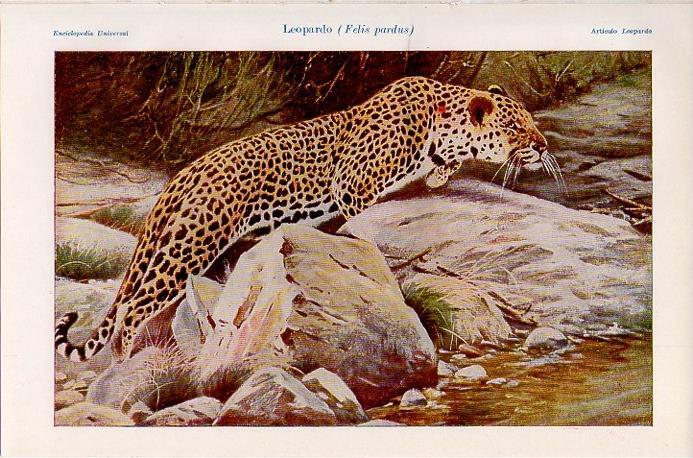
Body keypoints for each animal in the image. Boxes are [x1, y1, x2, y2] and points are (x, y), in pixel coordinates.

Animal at [55, 76, 550, 363]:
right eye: (517, 128)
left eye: (531, 123)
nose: (543, 145)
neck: (440, 126)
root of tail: (186, 173)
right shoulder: (353, 186)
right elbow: (363, 225)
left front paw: (441, 175)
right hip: (189, 247)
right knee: (133, 310)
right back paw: (123, 358)